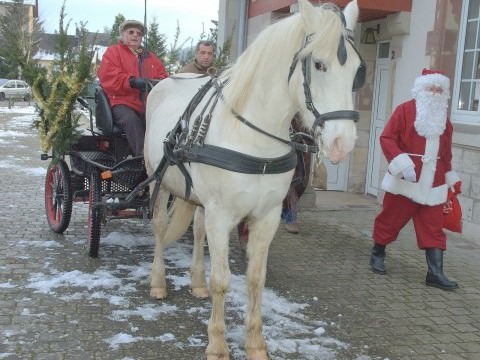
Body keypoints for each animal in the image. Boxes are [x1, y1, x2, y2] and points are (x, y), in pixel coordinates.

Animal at [144, 0, 362, 358]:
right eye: (318, 64)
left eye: (358, 71)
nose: (342, 143)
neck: (253, 137)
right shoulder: (222, 214)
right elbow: (222, 279)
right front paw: (218, 344)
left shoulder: (267, 215)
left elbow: (255, 278)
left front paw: (256, 344)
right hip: (158, 181)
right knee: (160, 226)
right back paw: (158, 282)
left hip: (201, 200)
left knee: (199, 229)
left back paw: (197, 282)